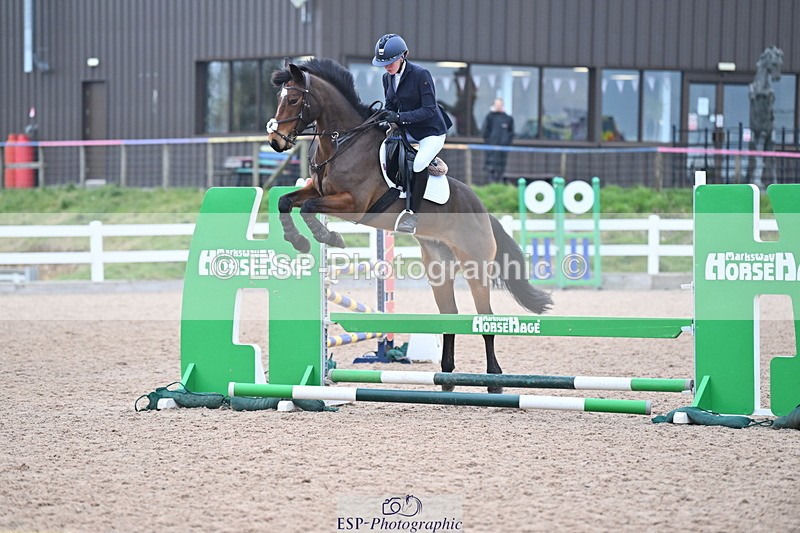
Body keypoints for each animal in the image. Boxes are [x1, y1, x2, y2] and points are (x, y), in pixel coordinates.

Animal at [266, 58, 552, 392]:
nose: (275, 142)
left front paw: (329, 237)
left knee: (486, 319)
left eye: (293, 100)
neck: (343, 142)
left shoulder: (353, 204)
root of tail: (483, 212)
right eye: (280, 98)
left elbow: (310, 208)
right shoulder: (317, 190)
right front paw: (298, 240)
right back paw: (447, 379)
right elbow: (286, 202)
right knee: (450, 315)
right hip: (438, 265)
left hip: (476, 267)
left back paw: (494, 381)